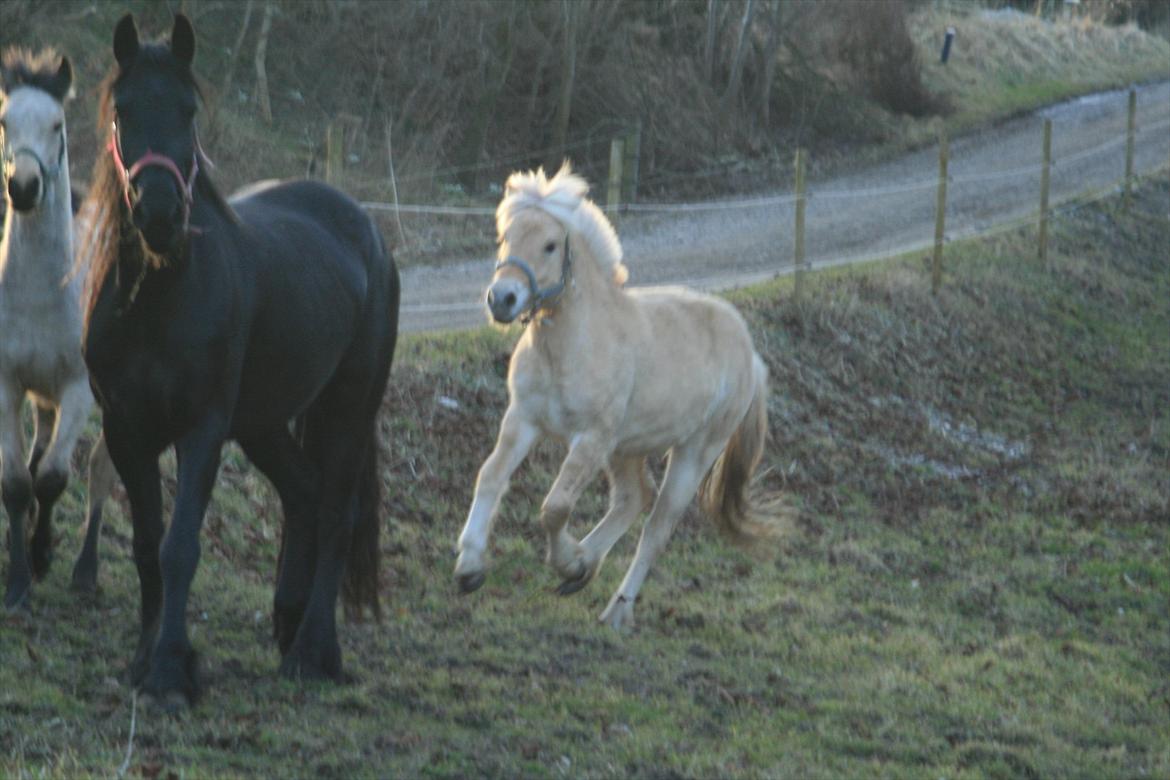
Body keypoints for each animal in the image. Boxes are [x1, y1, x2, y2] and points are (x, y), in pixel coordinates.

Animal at [83, 13, 402, 706]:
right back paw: (287, 622)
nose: (159, 213)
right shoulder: (125, 429)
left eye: (188, 110)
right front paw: (148, 660)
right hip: (263, 423)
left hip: (347, 409)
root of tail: (367, 231)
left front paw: (171, 672)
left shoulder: (201, 428)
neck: (159, 301)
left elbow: (180, 547)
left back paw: (312, 651)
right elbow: (147, 545)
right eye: (123, 111)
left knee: (336, 511)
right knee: (303, 494)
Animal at [451, 164, 772, 626]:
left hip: (693, 451)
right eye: (505, 237)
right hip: (627, 447)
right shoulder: (523, 419)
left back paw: (615, 610)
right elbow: (491, 476)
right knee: (633, 498)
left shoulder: (591, 438)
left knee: (657, 527)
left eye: (550, 245)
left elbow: (555, 507)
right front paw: (470, 567)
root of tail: (751, 356)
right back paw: (583, 568)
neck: (571, 345)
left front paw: (563, 561)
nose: (502, 299)